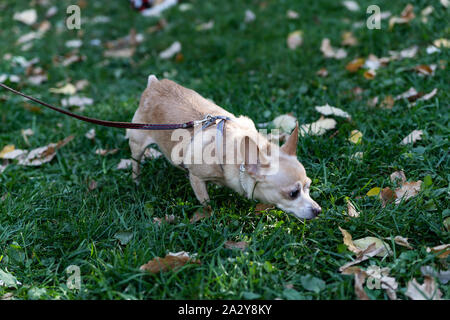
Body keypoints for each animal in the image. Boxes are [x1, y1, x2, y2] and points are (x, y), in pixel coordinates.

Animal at [128, 75, 322, 220]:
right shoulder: (196, 178)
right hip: (137, 142)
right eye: (293, 193)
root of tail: (154, 84)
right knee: (135, 162)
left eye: (308, 187)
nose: (318, 210)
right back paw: (136, 182)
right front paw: (211, 216)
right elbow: (206, 202)